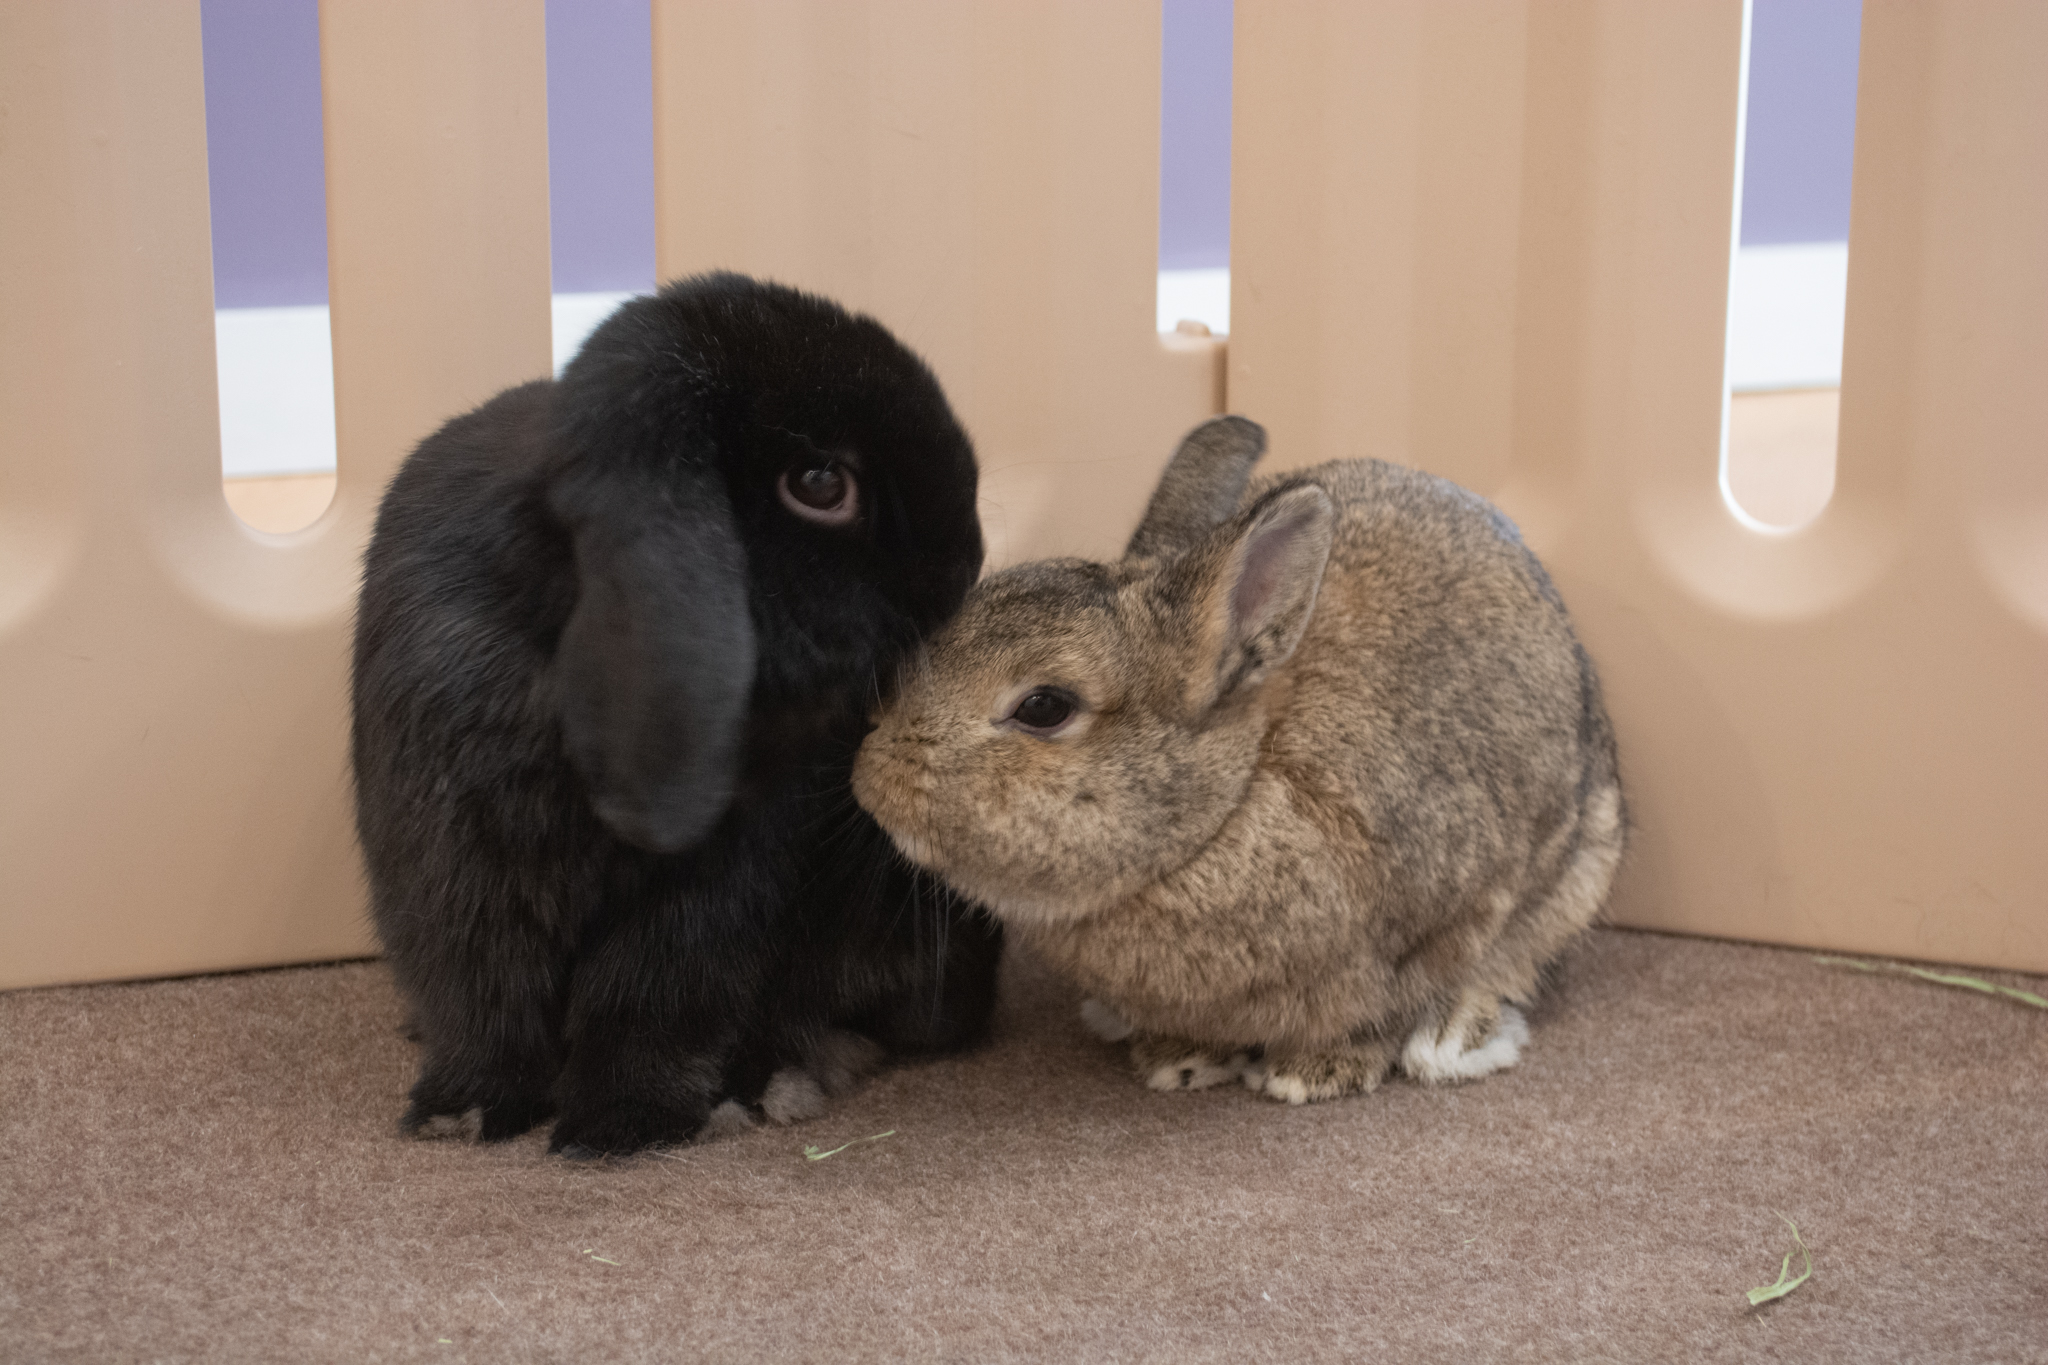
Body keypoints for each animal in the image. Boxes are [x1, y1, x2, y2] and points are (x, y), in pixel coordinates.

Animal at [352, 272, 1002, 1157]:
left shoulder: (717, 884)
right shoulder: (452, 861)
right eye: (820, 483)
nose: (963, 564)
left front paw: (622, 1125)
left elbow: (651, 996)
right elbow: (483, 1001)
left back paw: (767, 1082)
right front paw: (463, 1111)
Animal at [852, 415, 1624, 1104]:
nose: (870, 771)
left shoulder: (1444, 920)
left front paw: (1315, 1072)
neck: (1234, 797)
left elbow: (1390, 1004)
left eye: (1044, 706)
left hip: (1575, 875)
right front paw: (1180, 1059)